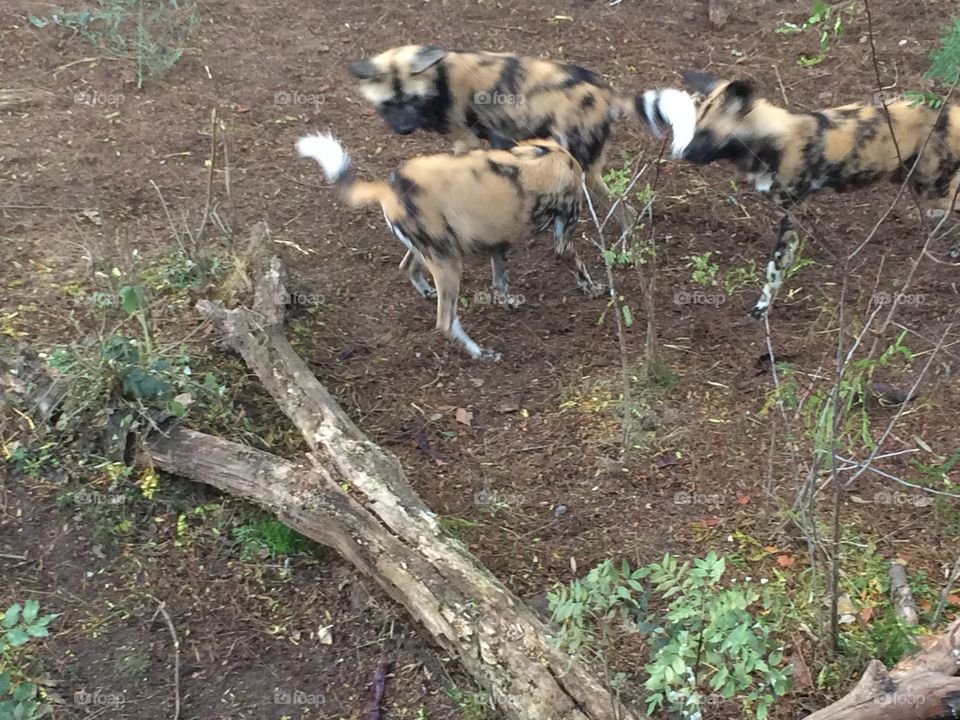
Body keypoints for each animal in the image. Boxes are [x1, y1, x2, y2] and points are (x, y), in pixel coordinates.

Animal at [298, 131, 600, 360]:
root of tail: (388, 188)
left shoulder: (498, 243)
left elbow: (500, 282)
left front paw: (508, 303)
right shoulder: (563, 236)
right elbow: (579, 267)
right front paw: (594, 289)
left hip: (434, 250)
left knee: (408, 267)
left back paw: (427, 292)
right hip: (449, 263)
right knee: (445, 322)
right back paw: (482, 353)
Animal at [344, 44, 652, 236]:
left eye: (412, 100)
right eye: (388, 104)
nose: (404, 129)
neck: (438, 79)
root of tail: (607, 92)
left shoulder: (465, 142)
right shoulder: (501, 138)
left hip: (582, 165)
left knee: (621, 206)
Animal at [640, 71, 960, 316]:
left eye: (705, 134)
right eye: (691, 129)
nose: (680, 153)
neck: (771, 141)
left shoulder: (791, 217)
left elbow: (774, 269)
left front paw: (762, 310)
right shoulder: (797, 212)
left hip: (934, 192)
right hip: (914, 181)